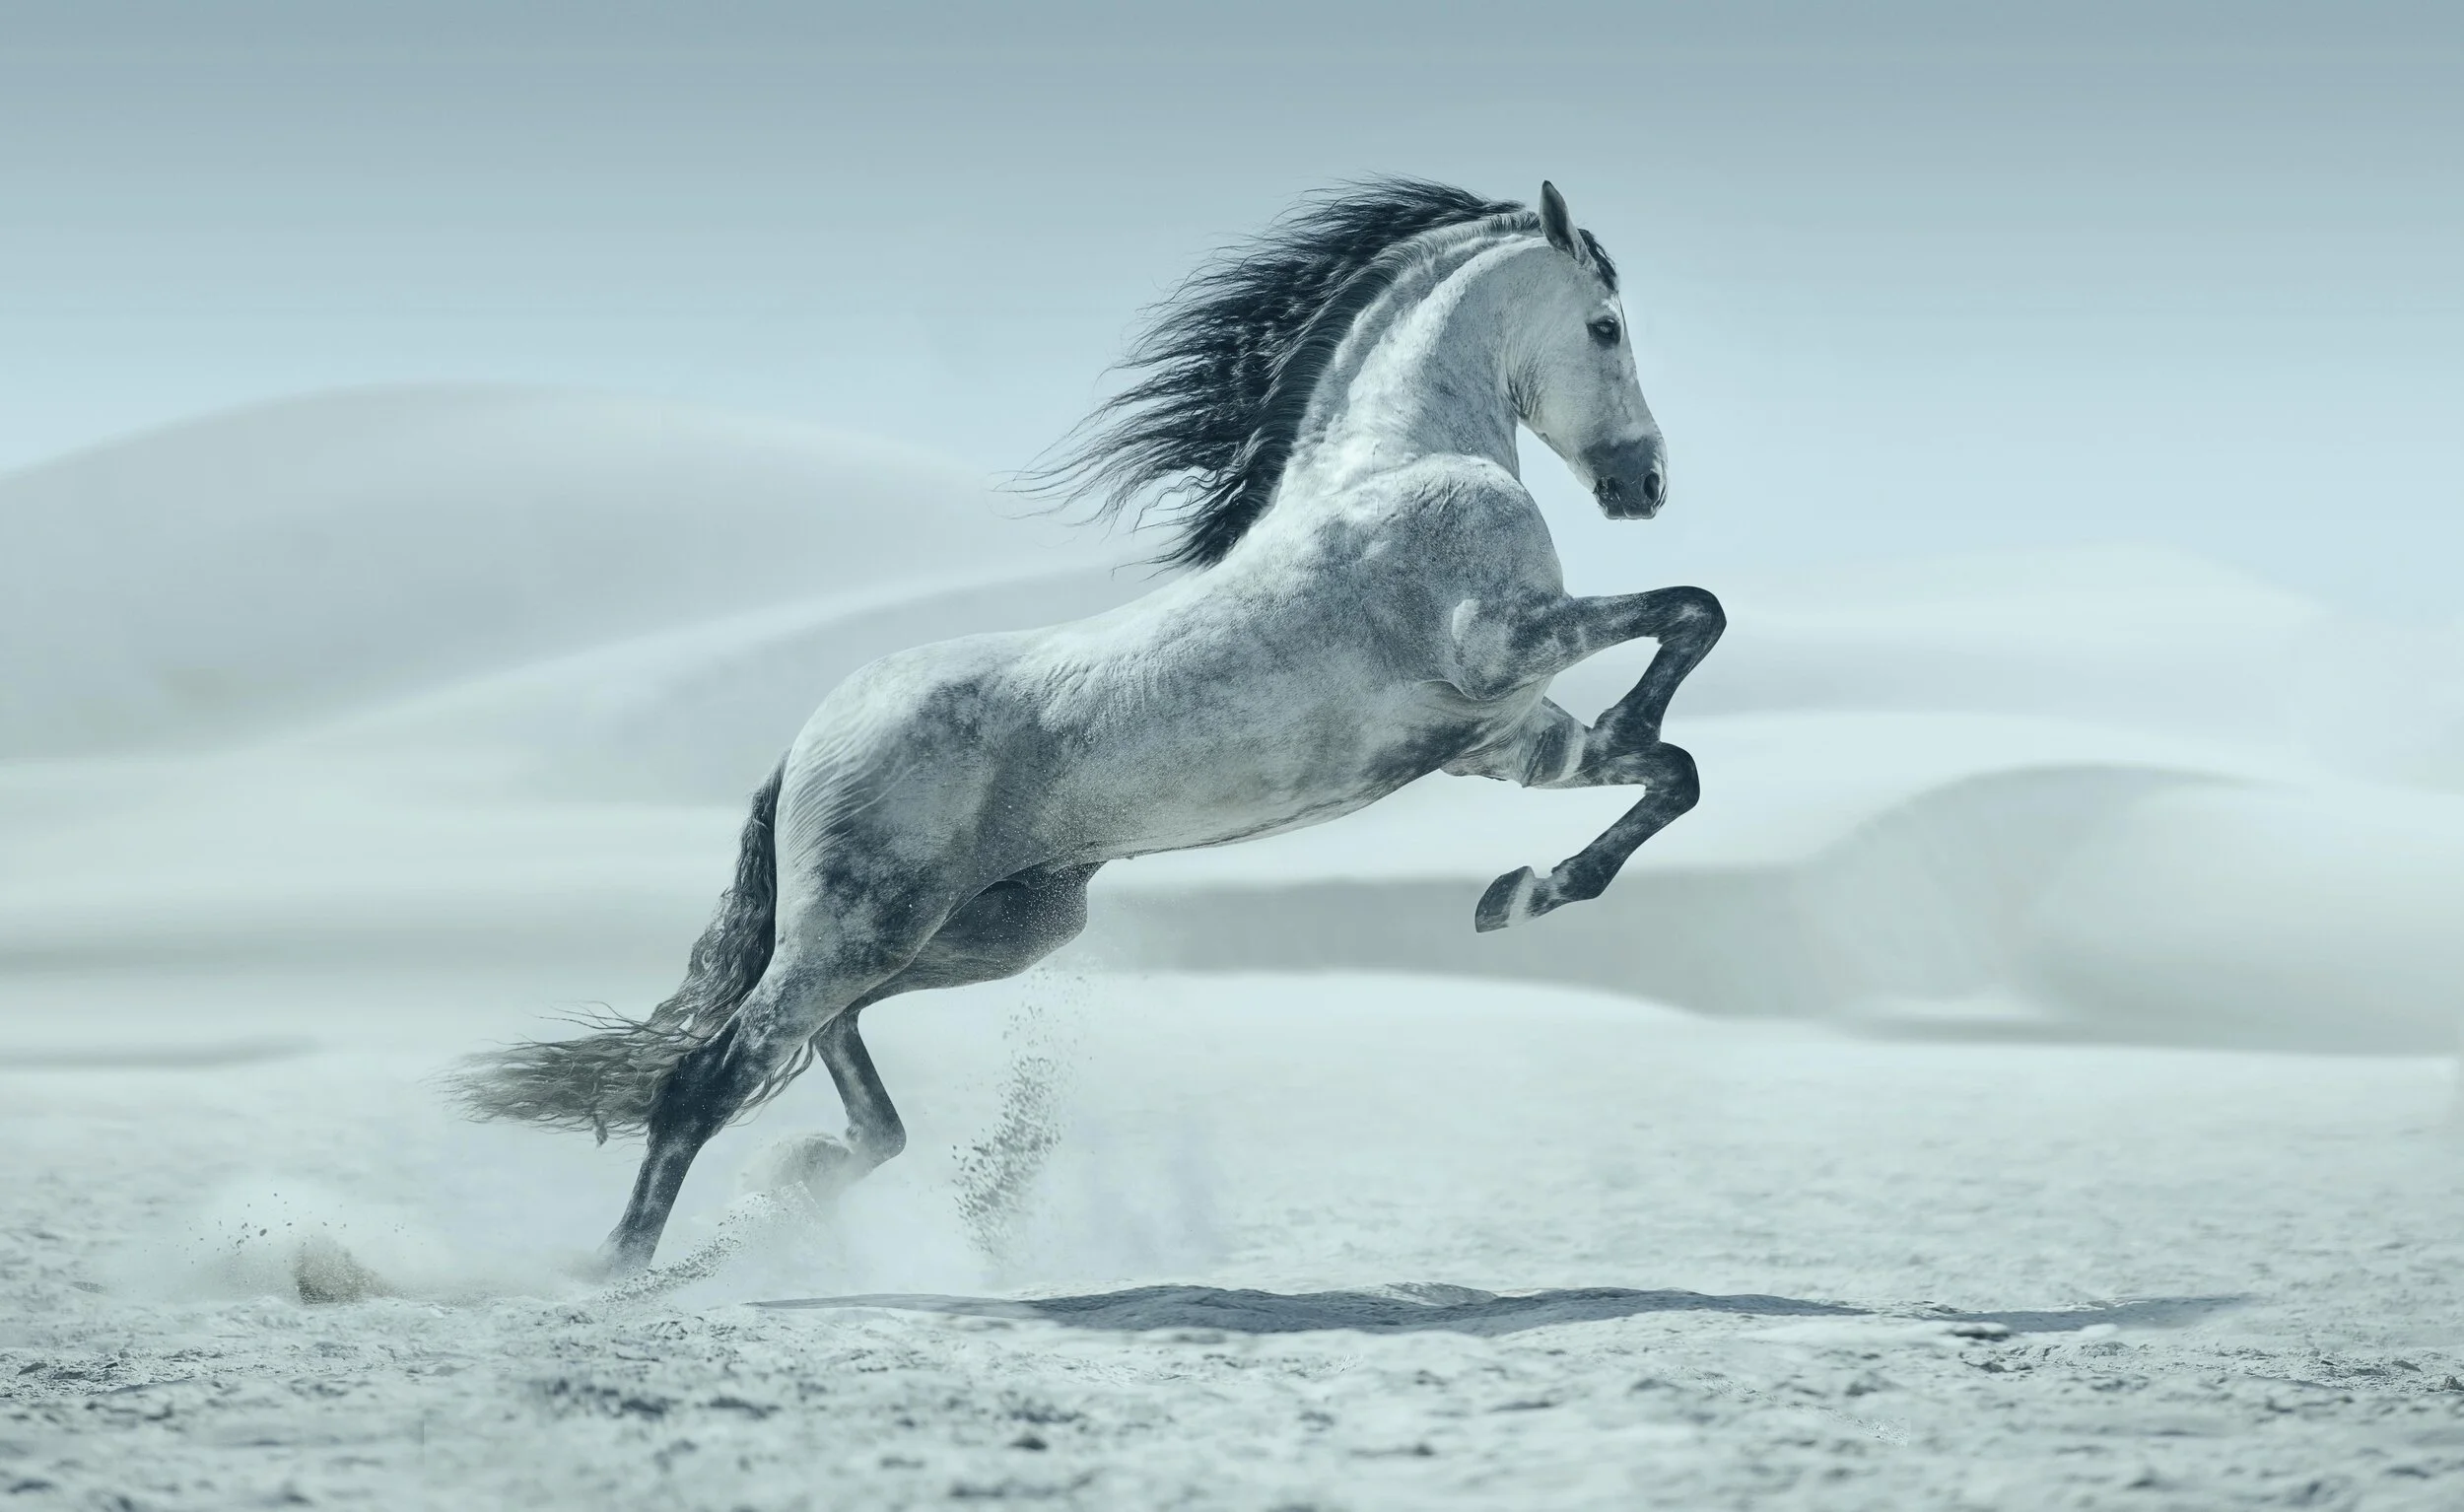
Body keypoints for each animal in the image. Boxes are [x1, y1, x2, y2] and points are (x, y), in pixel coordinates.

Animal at [449, 179, 1724, 1275]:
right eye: (1605, 326)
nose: (1646, 484)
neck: (1400, 463)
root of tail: (807, 738)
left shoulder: (1504, 740)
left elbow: (1672, 769)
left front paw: (1523, 892)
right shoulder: (1498, 645)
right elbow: (1691, 614)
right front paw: (1556, 841)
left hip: (982, 931)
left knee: (827, 1051)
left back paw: (801, 1180)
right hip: (865, 926)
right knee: (710, 1074)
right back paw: (615, 1271)